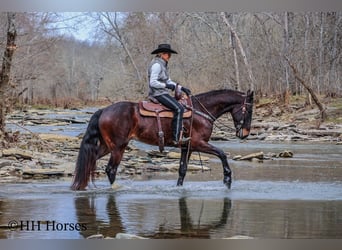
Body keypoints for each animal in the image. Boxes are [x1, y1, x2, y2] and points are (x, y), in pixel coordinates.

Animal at [71, 89, 254, 190]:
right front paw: (227, 179)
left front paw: (179, 188)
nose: (245, 133)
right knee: (111, 169)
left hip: (107, 146)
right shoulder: (199, 143)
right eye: (249, 111)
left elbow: (182, 170)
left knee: (91, 160)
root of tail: (104, 110)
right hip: (118, 147)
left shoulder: (187, 147)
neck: (200, 112)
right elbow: (222, 153)